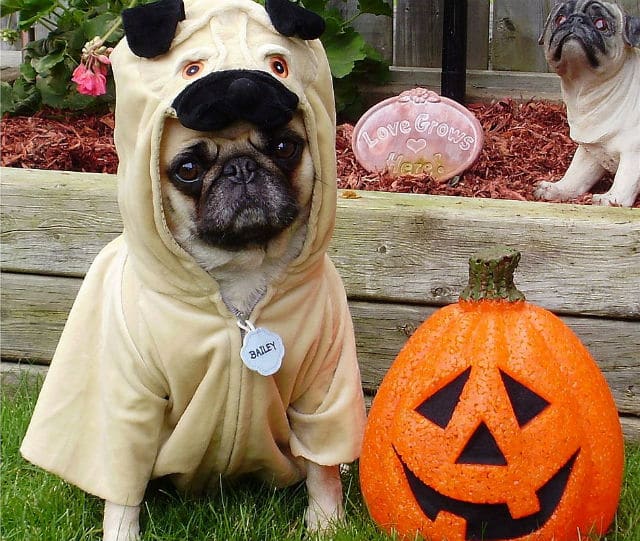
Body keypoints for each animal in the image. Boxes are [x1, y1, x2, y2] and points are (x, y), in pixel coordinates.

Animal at [22, 0, 368, 536]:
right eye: (188, 170)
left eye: (285, 147)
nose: (242, 168)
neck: (240, 274)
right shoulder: (128, 400)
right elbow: (122, 481)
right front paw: (120, 532)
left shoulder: (323, 389)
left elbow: (322, 468)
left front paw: (327, 523)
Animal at [536, 0, 640, 207]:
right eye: (560, 19)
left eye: (601, 24)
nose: (576, 20)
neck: (585, 88)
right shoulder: (591, 151)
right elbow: (576, 176)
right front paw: (557, 189)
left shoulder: (634, 151)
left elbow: (625, 179)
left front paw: (611, 199)